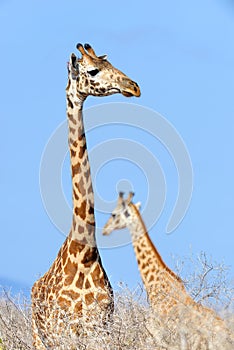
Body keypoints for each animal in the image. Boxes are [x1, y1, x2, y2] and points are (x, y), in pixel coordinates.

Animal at [31, 44, 141, 350]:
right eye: (92, 71)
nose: (133, 86)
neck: (86, 252)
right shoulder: (63, 332)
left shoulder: (100, 328)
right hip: (37, 337)